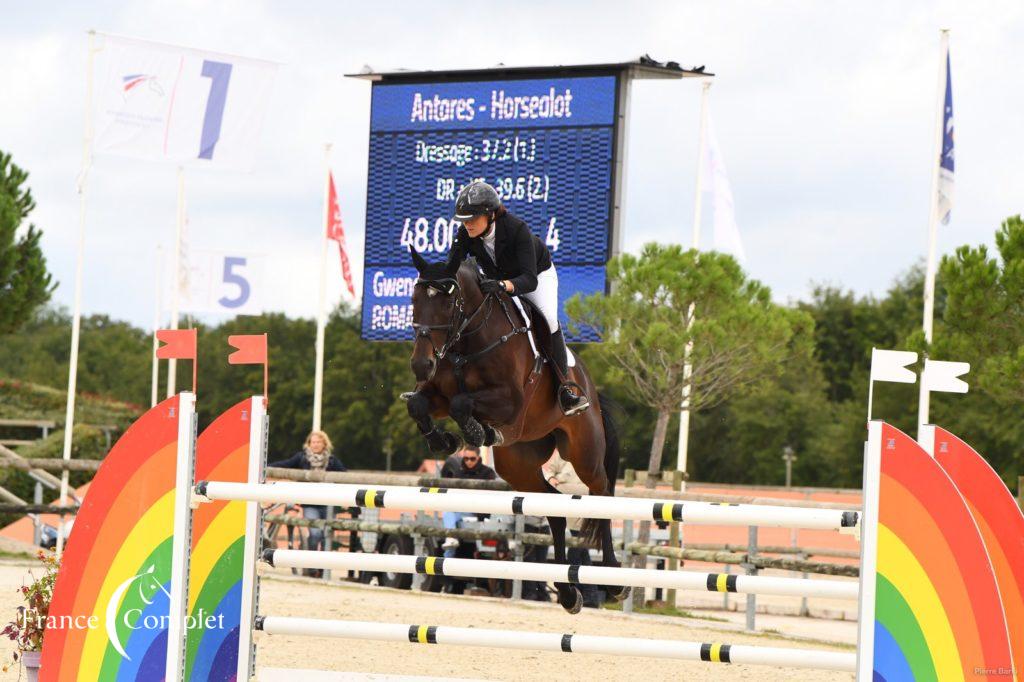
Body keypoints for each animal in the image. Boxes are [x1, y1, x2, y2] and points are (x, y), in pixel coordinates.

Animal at [403, 249, 626, 610]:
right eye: (414, 299)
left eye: (449, 302)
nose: (421, 365)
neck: (469, 339)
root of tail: (590, 388)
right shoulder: (437, 395)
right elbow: (420, 405)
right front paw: (445, 440)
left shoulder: (510, 402)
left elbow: (462, 404)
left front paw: (478, 433)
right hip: (519, 464)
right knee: (554, 510)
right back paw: (567, 593)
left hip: (585, 453)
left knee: (602, 494)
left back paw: (614, 578)